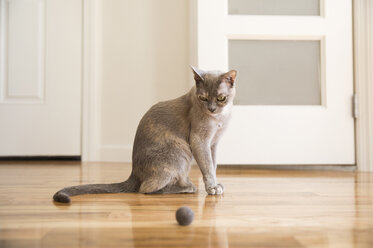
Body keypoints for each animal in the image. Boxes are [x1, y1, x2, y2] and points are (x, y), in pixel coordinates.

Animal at [53, 66, 235, 203]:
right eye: (203, 98)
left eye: (221, 98)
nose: (211, 109)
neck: (220, 118)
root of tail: (134, 173)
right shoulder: (200, 141)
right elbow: (207, 166)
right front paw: (212, 188)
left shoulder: (213, 144)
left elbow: (213, 164)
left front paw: (216, 184)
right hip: (180, 152)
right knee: (146, 189)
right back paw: (187, 188)